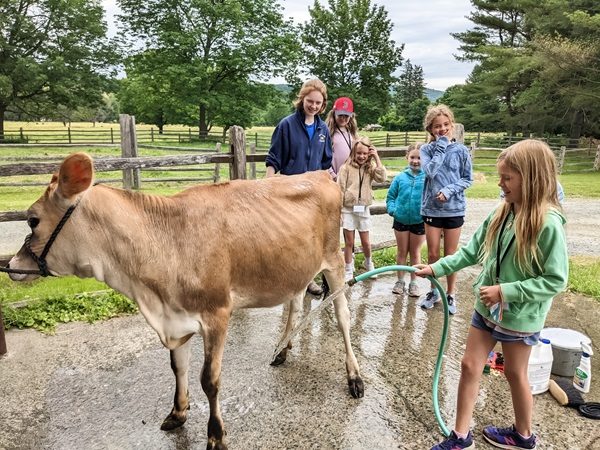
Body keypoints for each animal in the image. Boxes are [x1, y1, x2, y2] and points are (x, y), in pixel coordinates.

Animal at [9, 152, 364, 450]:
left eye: (32, 220)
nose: (11, 265)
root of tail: (321, 174)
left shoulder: (217, 314)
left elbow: (210, 380)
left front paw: (216, 435)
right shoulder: (175, 316)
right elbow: (177, 366)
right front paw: (178, 412)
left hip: (334, 260)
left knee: (343, 317)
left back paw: (354, 377)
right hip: (293, 266)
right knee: (293, 302)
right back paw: (282, 350)